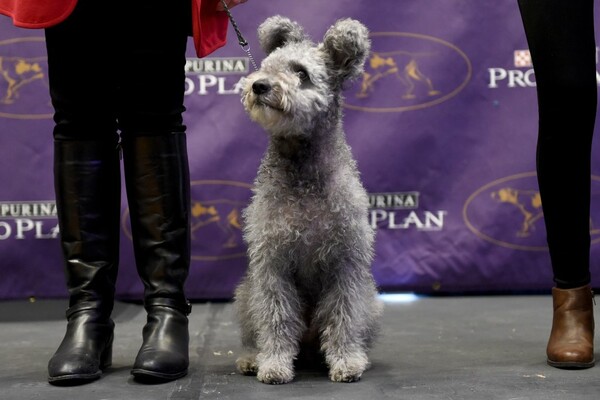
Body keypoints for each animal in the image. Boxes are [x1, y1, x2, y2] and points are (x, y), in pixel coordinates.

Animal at [233, 16, 380, 384]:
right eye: (268, 66)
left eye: (301, 72)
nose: (259, 85)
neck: (303, 177)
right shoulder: (272, 264)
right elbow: (277, 318)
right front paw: (274, 364)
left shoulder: (345, 264)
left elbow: (343, 316)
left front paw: (346, 361)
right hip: (245, 295)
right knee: (254, 331)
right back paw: (251, 358)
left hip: (372, 302)